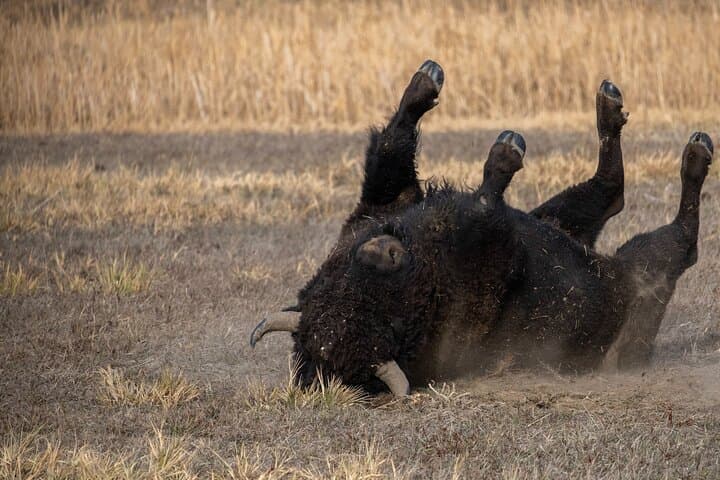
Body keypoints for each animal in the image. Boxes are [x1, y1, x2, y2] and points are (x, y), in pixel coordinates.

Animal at [250, 60, 714, 397]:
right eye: (388, 324)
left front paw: (427, 79)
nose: (383, 252)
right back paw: (695, 154)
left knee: (610, 190)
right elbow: (484, 199)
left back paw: (613, 106)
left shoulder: (378, 206)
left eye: (339, 282)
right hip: (643, 269)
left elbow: (392, 147)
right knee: (681, 241)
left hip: (555, 216)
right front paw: (507, 151)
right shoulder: (487, 256)